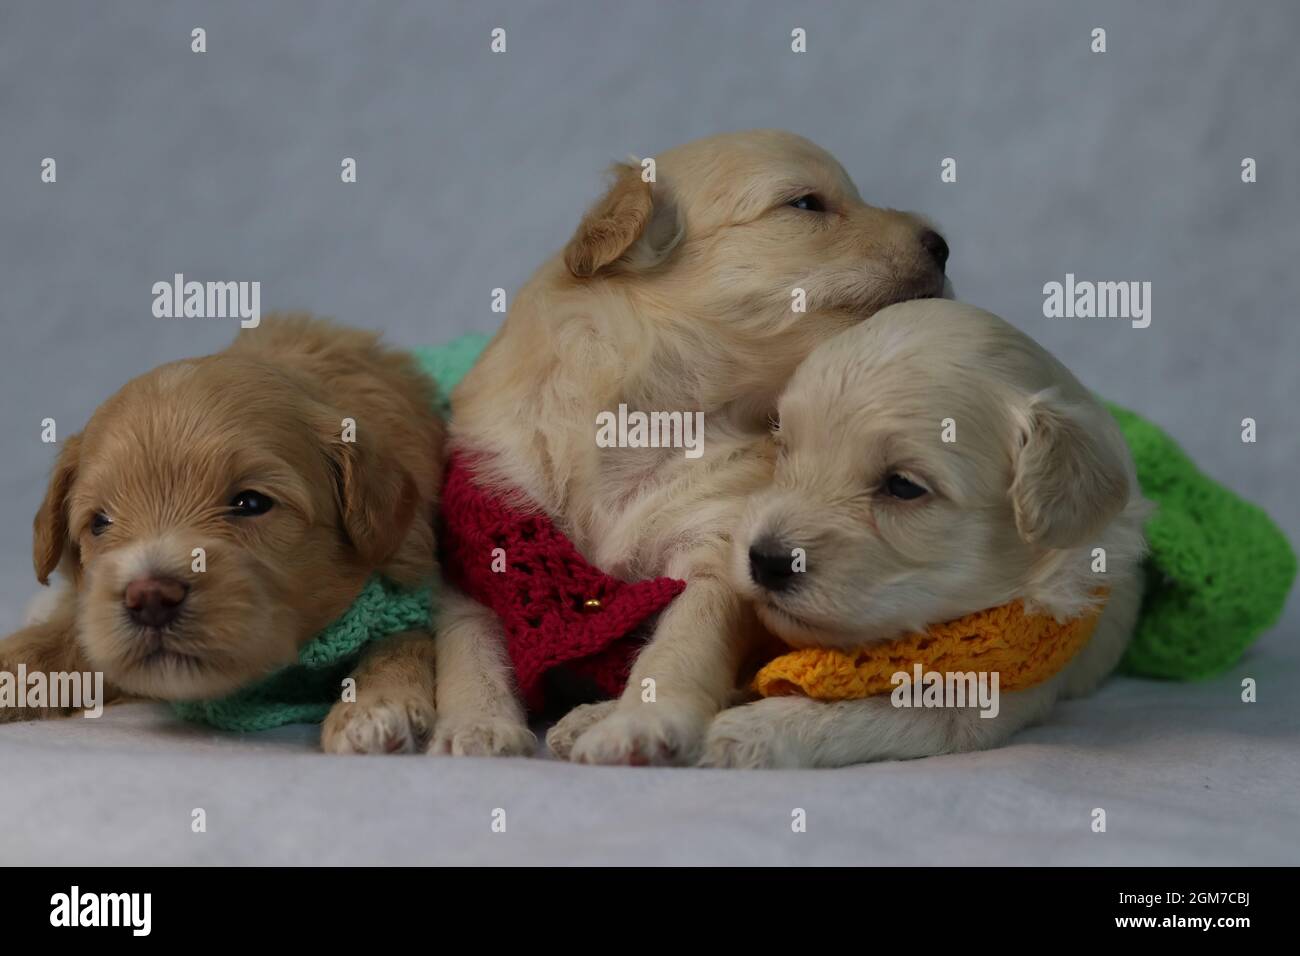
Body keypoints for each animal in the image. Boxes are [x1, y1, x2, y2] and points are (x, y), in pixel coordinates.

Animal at [0, 314, 444, 754]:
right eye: (99, 522)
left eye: (251, 503)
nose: (150, 598)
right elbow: (62, 639)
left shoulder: (409, 587)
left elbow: (402, 639)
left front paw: (377, 706)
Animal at [436, 130, 946, 764]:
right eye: (806, 204)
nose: (942, 245)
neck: (654, 416)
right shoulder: (484, 541)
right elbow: (466, 645)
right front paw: (475, 724)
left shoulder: (717, 551)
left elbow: (680, 645)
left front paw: (639, 723)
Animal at [696, 300, 1154, 770]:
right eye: (783, 446)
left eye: (903, 485)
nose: (765, 560)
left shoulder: (984, 700)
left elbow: (864, 712)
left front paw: (754, 729)